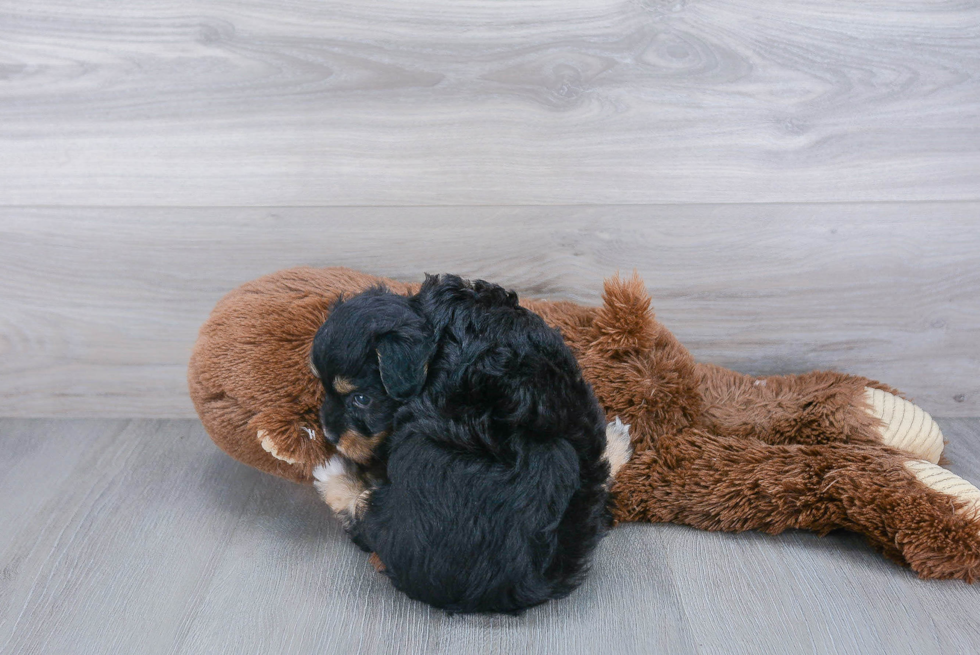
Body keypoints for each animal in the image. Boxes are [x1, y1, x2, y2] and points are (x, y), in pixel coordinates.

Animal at [316, 276, 636, 616]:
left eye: (361, 399)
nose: (329, 434)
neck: (435, 334)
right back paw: (616, 443)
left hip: (417, 457)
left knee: (370, 523)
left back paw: (335, 477)